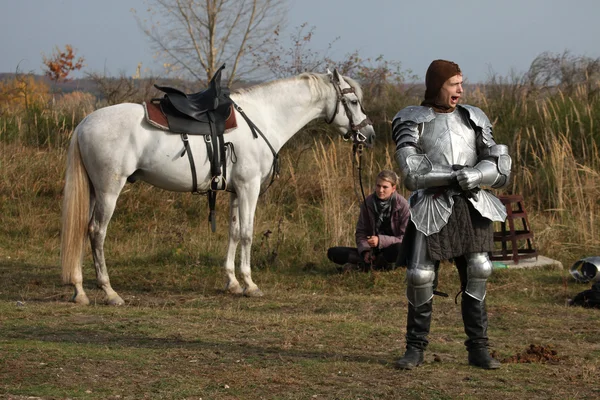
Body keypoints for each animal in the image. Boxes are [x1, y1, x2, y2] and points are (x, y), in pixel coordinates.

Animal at [58, 70, 372, 304]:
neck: (265, 118)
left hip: (94, 191)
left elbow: (233, 233)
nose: (368, 134)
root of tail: (84, 123)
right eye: (354, 101)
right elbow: (247, 234)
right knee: (97, 232)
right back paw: (109, 292)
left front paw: (232, 282)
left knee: (82, 230)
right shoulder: (249, 188)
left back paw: (79, 290)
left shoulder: (235, 191)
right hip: (109, 190)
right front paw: (250, 284)